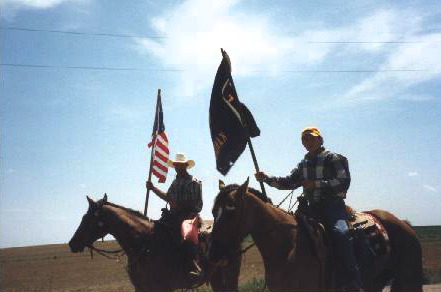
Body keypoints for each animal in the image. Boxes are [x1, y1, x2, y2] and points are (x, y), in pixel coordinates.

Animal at [69, 194, 241, 292]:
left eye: (88, 219)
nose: (72, 243)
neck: (143, 245)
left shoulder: (164, 287)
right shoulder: (141, 288)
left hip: (231, 273)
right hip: (215, 276)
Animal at [208, 179, 422, 292]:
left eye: (231, 211)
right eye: (213, 211)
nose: (213, 255)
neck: (287, 246)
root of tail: (404, 224)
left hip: (409, 280)